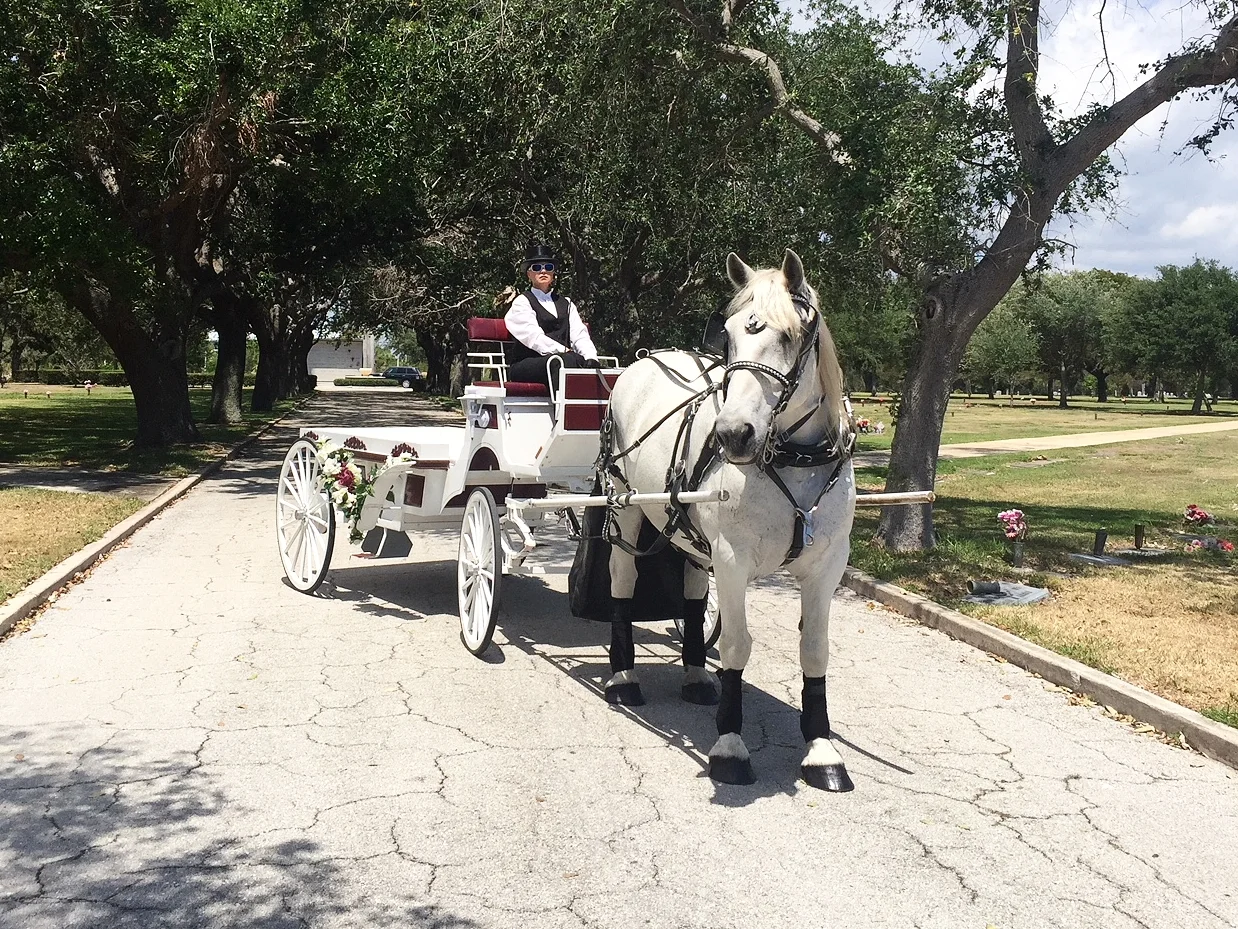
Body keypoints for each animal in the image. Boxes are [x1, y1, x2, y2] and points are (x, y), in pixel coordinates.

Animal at [599, 249, 858, 790]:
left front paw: (821, 749)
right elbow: (738, 647)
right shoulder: (735, 560)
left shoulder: (827, 567)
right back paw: (623, 677)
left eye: (790, 335)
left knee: (694, 592)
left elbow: (815, 649)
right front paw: (731, 746)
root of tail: (643, 359)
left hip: (692, 531)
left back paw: (697, 674)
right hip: (625, 506)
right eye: (731, 335)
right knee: (622, 583)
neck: (792, 458)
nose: (733, 434)